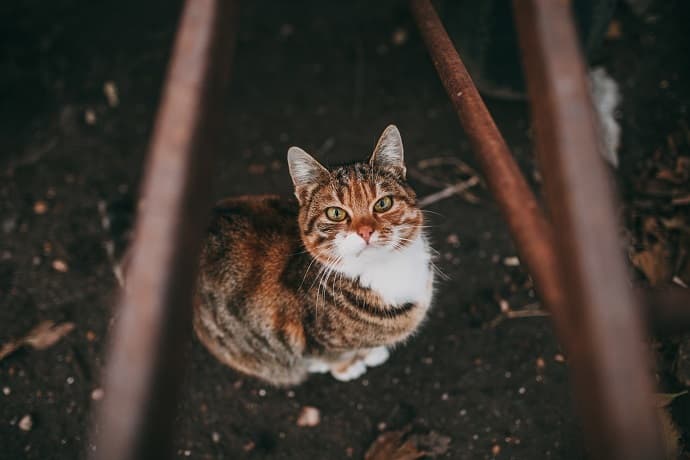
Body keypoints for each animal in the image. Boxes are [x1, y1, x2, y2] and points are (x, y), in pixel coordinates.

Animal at [192, 125, 436, 384]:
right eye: (336, 213)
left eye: (383, 203)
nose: (365, 231)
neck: (385, 269)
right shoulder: (312, 339)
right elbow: (333, 355)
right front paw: (347, 367)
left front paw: (370, 353)